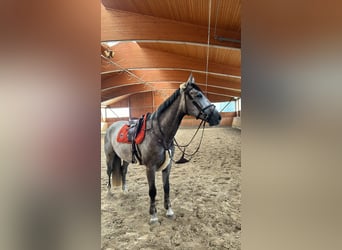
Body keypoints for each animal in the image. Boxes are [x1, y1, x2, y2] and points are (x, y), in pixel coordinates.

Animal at [104, 73, 222, 223]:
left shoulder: (168, 166)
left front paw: (169, 211)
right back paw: (109, 192)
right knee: (109, 171)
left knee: (123, 171)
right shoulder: (150, 167)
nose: (217, 117)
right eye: (198, 95)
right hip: (109, 156)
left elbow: (166, 187)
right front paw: (153, 215)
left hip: (125, 158)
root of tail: (111, 127)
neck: (159, 133)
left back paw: (124, 190)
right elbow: (152, 190)